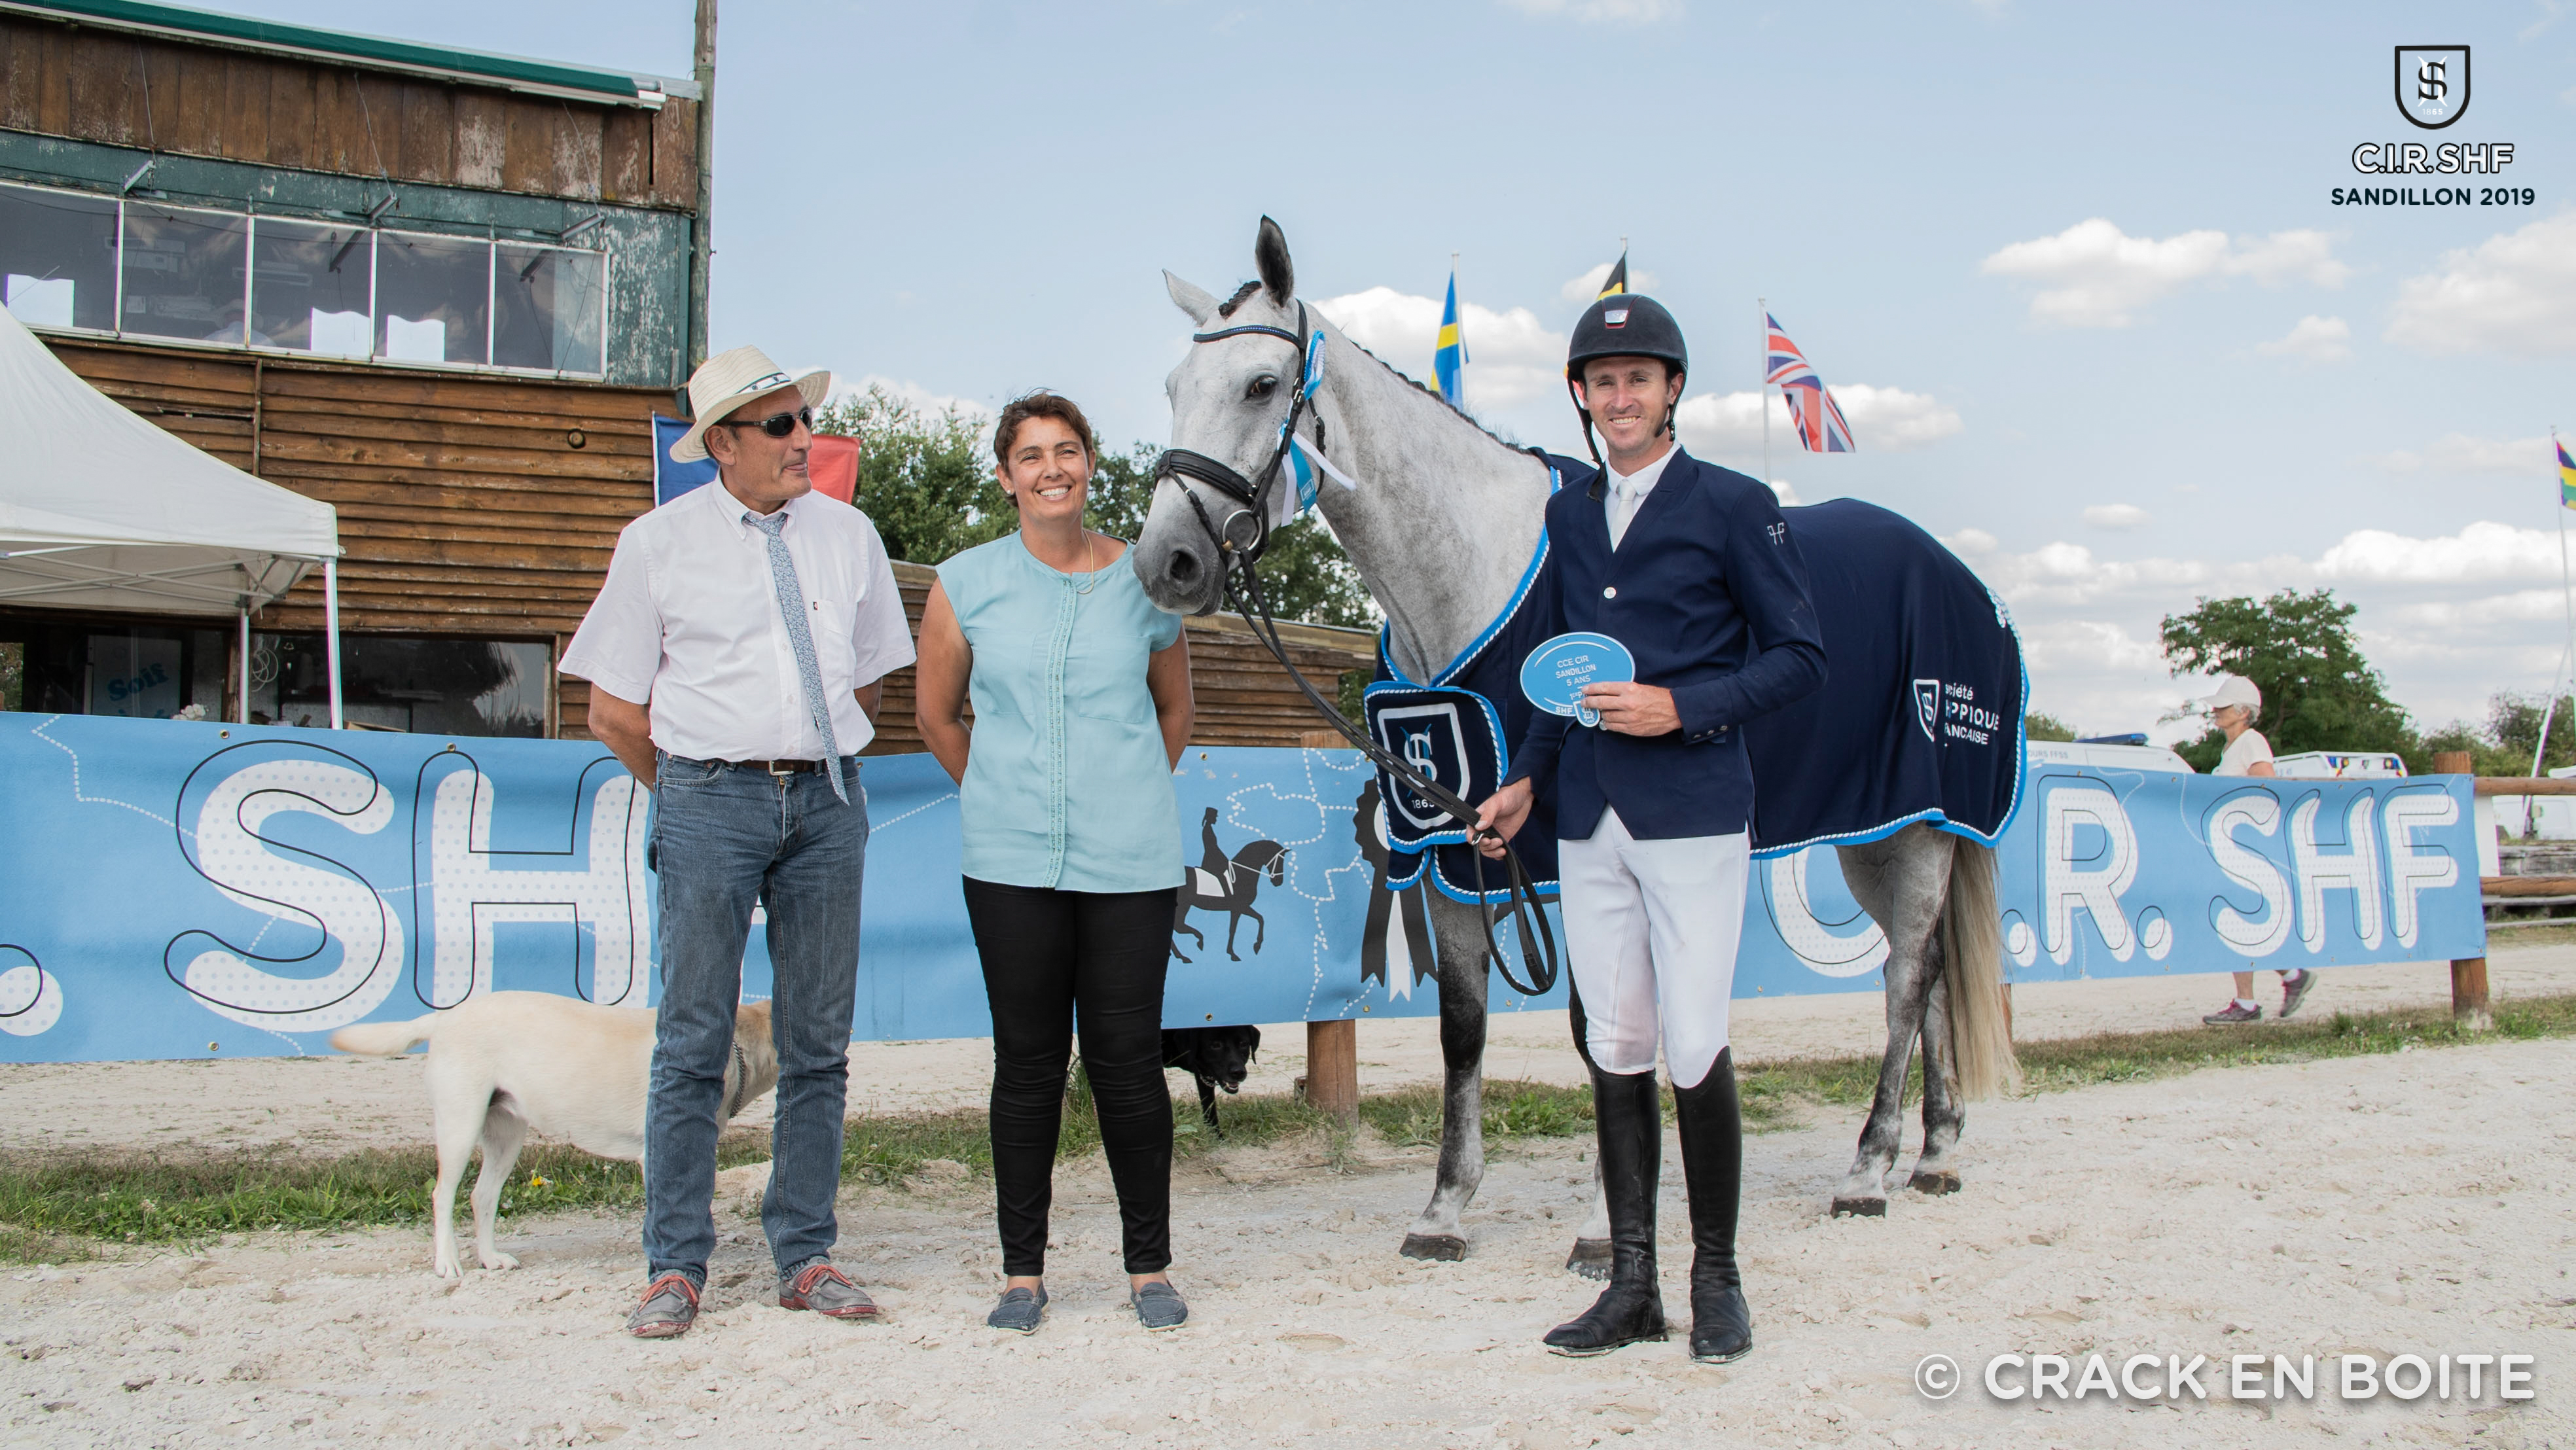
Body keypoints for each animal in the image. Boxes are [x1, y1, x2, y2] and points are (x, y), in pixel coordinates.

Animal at [330, 992, 778, 1278]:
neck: (738, 1042)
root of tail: (444, 1016)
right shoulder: (659, 1153)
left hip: (506, 1134)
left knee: (482, 1196)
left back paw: (490, 1258)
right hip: (460, 1123)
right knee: (443, 1195)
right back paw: (448, 1262)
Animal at [1160, 1024, 1261, 1136]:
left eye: (1243, 1043)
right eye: (1216, 1045)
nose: (1238, 1072)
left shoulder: (1204, 1075)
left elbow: (1209, 1109)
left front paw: (1216, 1136)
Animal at [1171, 839, 1288, 963]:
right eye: (1279, 860)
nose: (1278, 882)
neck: (1241, 875)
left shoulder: (1239, 909)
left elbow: (1256, 920)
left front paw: (1249, 948)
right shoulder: (1239, 907)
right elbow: (1242, 926)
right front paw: (1243, 951)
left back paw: (1183, 955)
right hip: (1183, 905)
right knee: (1178, 926)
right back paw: (1194, 946)